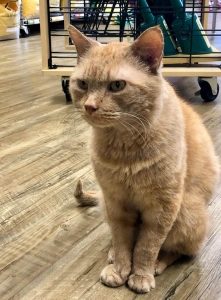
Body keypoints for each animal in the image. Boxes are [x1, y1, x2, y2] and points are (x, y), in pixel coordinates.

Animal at [68, 25, 219, 292]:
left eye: (117, 85)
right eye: (83, 84)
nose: (90, 106)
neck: (124, 147)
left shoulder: (162, 207)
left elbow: (147, 246)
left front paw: (141, 274)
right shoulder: (115, 202)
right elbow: (122, 241)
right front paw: (120, 267)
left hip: (187, 213)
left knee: (180, 251)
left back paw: (158, 264)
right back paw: (111, 254)